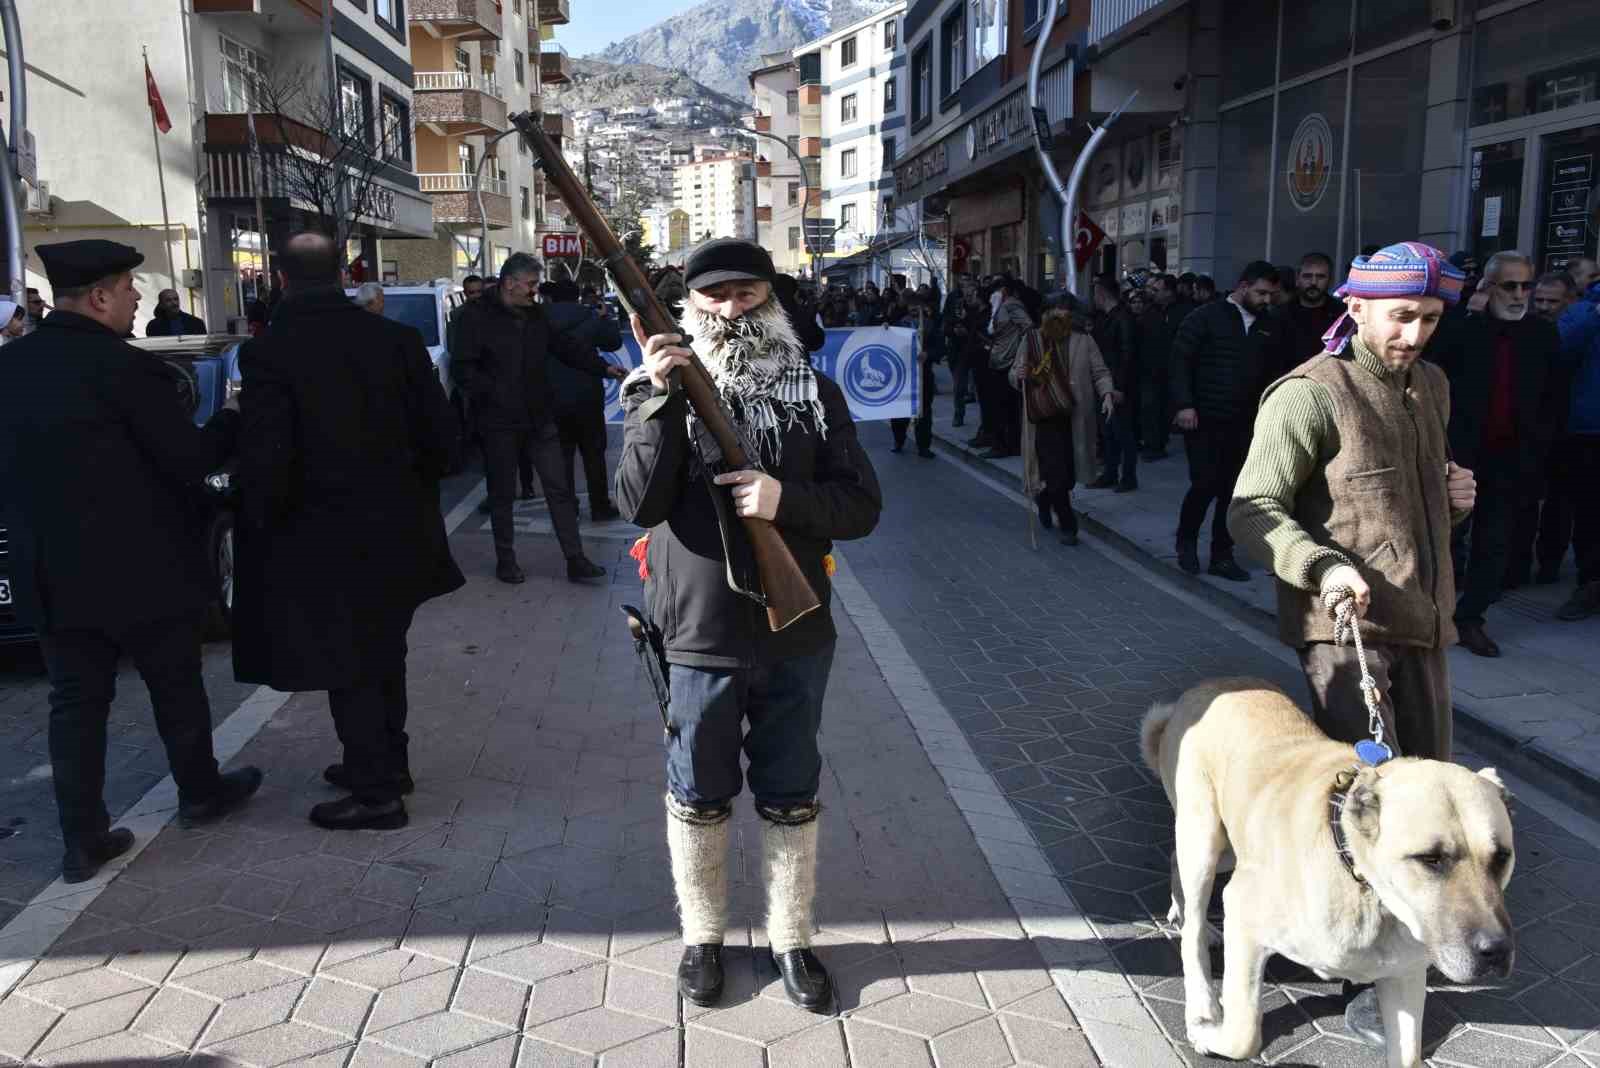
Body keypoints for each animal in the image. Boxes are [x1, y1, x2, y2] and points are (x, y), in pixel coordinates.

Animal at [1139, 681, 1510, 1061]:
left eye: (1502, 857)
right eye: (1430, 859)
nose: (1495, 951)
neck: (1360, 880)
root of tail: (1207, 687)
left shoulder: (1405, 976)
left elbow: (1407, 1052)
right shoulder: (1243, 915)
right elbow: (1244, 1034)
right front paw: (1208, 1031)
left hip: (1229, 847)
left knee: (1176, 860)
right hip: (1203, 840)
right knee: (1193, 931)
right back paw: (1203, 999)